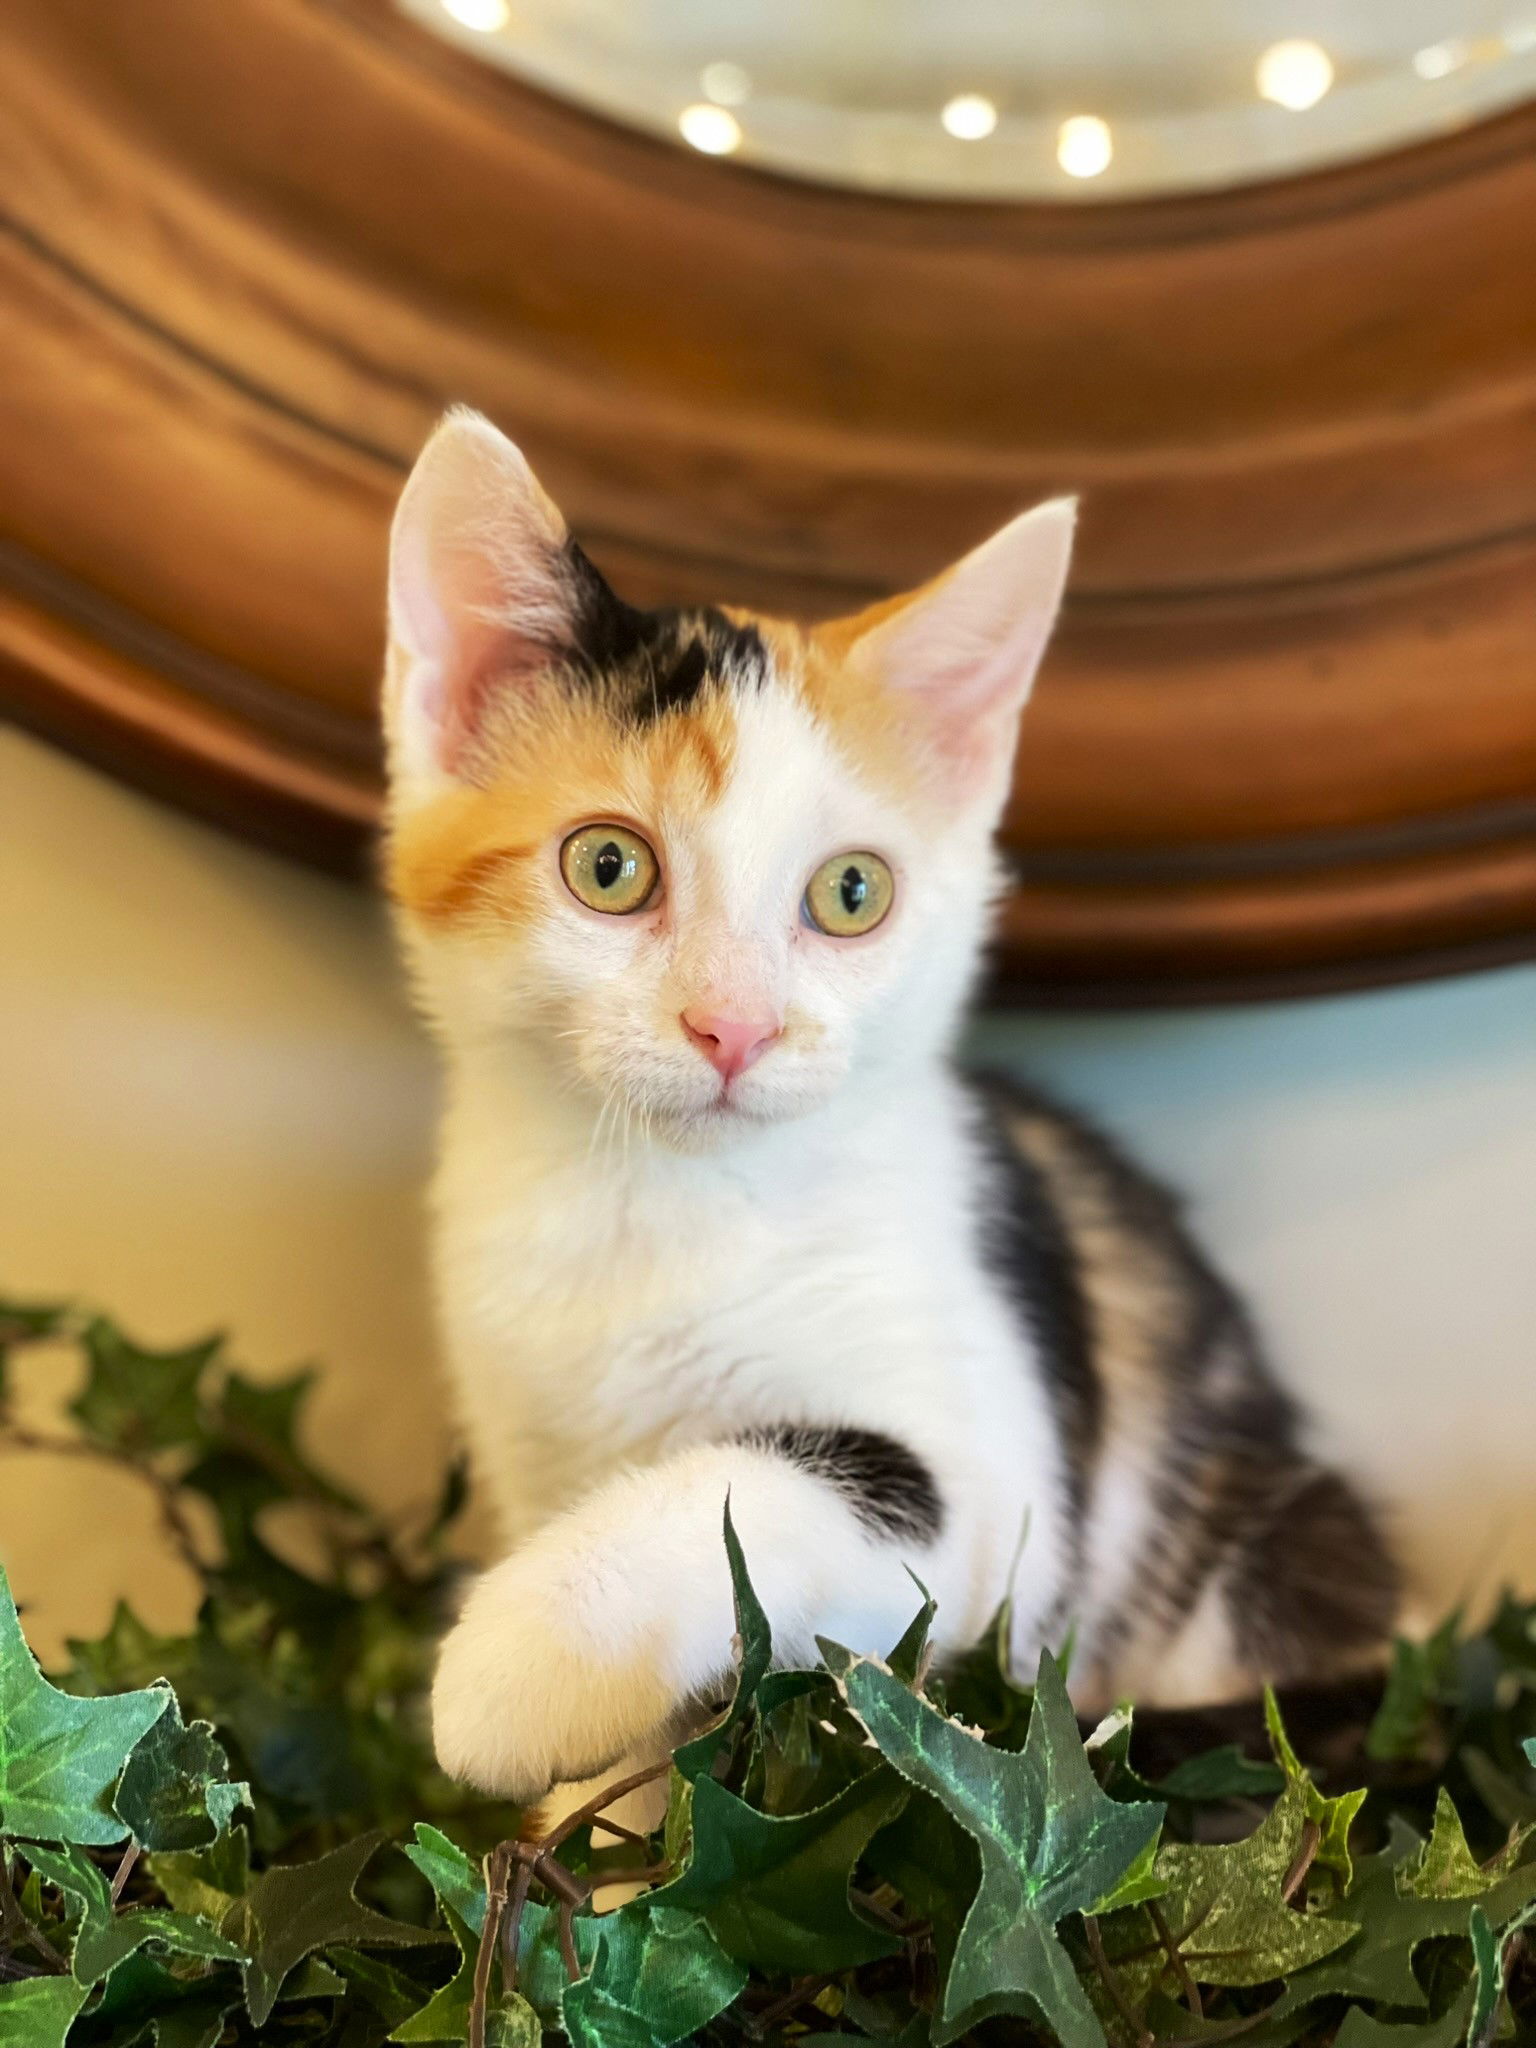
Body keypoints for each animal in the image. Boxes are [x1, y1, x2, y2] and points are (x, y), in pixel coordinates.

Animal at [378, 407, 1400, 1802]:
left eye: (851, 892)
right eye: (609, 865)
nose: (735, 1025)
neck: (658, 1202)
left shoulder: (995, 1482)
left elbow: (774, 1485)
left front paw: (513, 1660)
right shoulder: (527, 1430)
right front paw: (599, 1827)